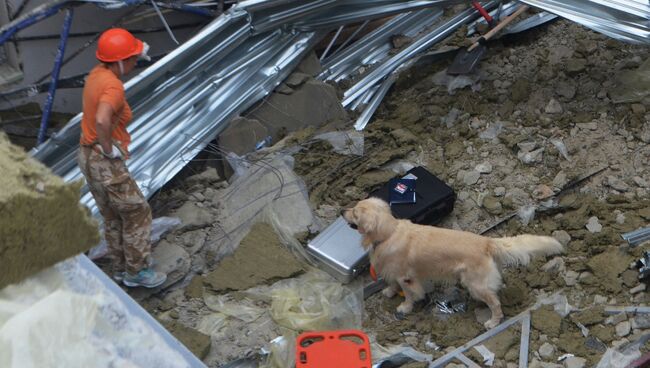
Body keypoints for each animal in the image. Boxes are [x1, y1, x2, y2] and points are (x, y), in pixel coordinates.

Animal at [342, 197, 560, 330]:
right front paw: (389, 291)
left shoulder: (407, 277)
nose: (343, 210)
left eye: (355, 213)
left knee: (495, 303)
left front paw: (405, 307)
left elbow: (410, 294)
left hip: (476, 285)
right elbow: (393, 283)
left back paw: (492, 322)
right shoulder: (395, 271)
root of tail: (486, 242)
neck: (389, 233)